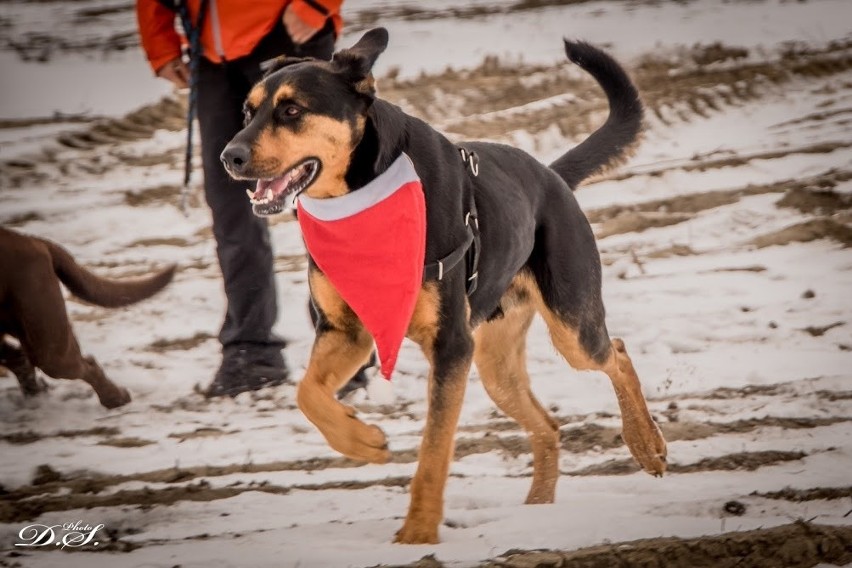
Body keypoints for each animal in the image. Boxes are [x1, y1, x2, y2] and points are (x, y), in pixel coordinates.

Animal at [223, 28, 668, 544]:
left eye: (292, 110)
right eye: (247, 112)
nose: (228, 156)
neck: (359, 197)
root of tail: (552, 176)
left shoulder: (452, 346)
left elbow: (434, 448)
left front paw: (417, 533)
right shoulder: (347, 331)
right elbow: (307, 394)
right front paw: (362, 440)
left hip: (571, 327)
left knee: (616, 353)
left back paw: (647, 445)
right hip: (497, 368)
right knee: (548, 425)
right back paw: (538, 510)